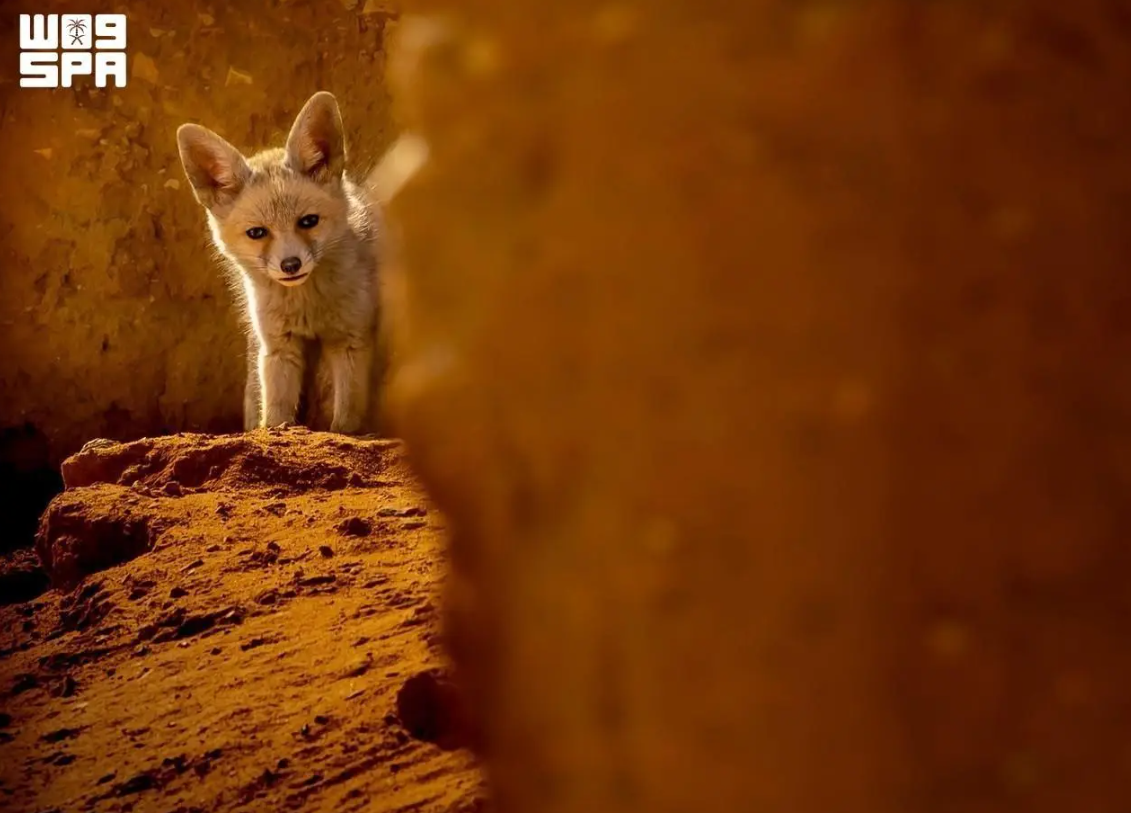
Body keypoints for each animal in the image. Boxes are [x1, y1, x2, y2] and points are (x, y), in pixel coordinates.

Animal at [176, 91, 384, 435]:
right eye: (257, 233)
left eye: (308, 221)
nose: (290, 265)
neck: (307, 306)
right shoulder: (278, 347)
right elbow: (275, 414)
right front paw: (273, 432)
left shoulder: (351, 340)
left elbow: (347, 417)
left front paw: (346, 432)